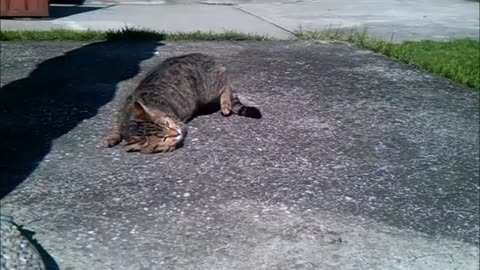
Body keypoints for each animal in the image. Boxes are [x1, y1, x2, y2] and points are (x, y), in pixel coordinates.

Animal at [101, 53, 262, 153]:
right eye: (163, 138)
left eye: (167, 124)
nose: (175, 133)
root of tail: (207, 56)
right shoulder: (121, 114)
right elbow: (117, 128)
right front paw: (111, 137)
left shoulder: (178, 122)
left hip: (208, 89)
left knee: (226, 85)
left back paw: (226, 104)